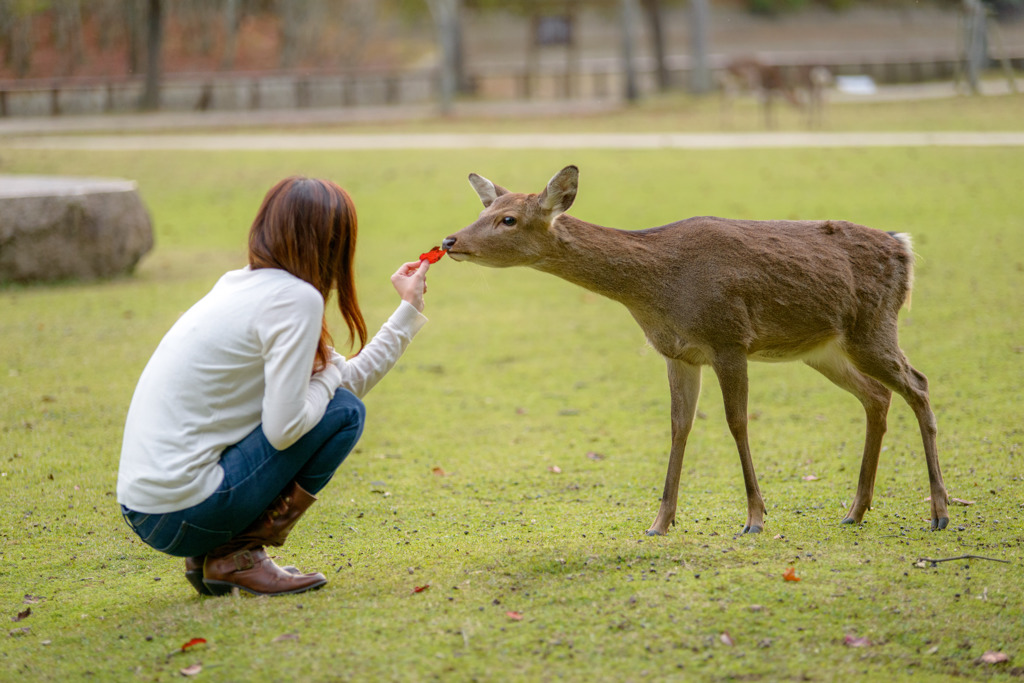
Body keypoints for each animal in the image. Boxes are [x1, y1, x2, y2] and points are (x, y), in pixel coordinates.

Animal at [442, 162, 950, 536]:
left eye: (508, 219)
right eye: (484, 209)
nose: (450, 240)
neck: (657, 289)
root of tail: (904, 249)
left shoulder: (729, 338)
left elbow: (736, 421)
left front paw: (754, 518)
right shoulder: (678, 353)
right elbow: (678, 426)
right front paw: (660, 522)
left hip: (874, 326)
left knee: (919, 384)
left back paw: (940, 512)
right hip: (824, 349)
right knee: (877, 395)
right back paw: (855, 510)